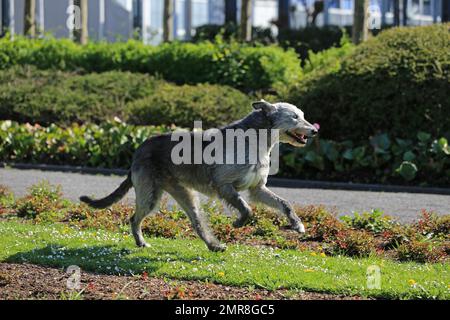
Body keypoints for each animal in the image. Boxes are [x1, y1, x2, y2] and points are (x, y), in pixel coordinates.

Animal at [81, 100, 320, 252]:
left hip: (184, 193)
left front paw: (297, 224)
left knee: (196, 222)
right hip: (150, 193)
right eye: (295, 117)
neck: (254, 140)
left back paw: (214, 246)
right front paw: (239, 222)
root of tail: (138, 150)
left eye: (302, 115)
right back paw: (141, 242)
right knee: (135, 218)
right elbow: (247, 208)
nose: (315, 130)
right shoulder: (224, 185)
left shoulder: (257, 188)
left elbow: (284, 203)